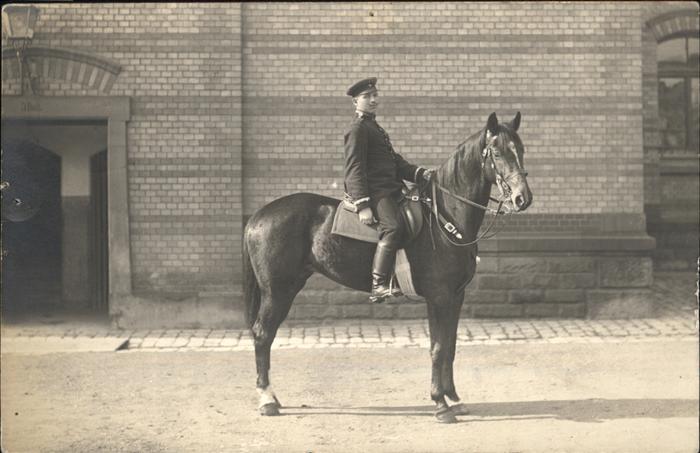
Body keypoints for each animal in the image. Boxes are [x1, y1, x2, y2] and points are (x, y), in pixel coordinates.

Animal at [243, 112, 532, 423]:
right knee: (262, 335)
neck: (444, 216)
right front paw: (440, 404)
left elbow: (451, 346)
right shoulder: (439, 297)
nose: (523, 198)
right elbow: (438, 347)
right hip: (277, 291)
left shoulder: (456, 296)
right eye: (498, 152)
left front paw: (454, 399)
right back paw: (267, 400)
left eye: (521, 149)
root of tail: (258, 216)